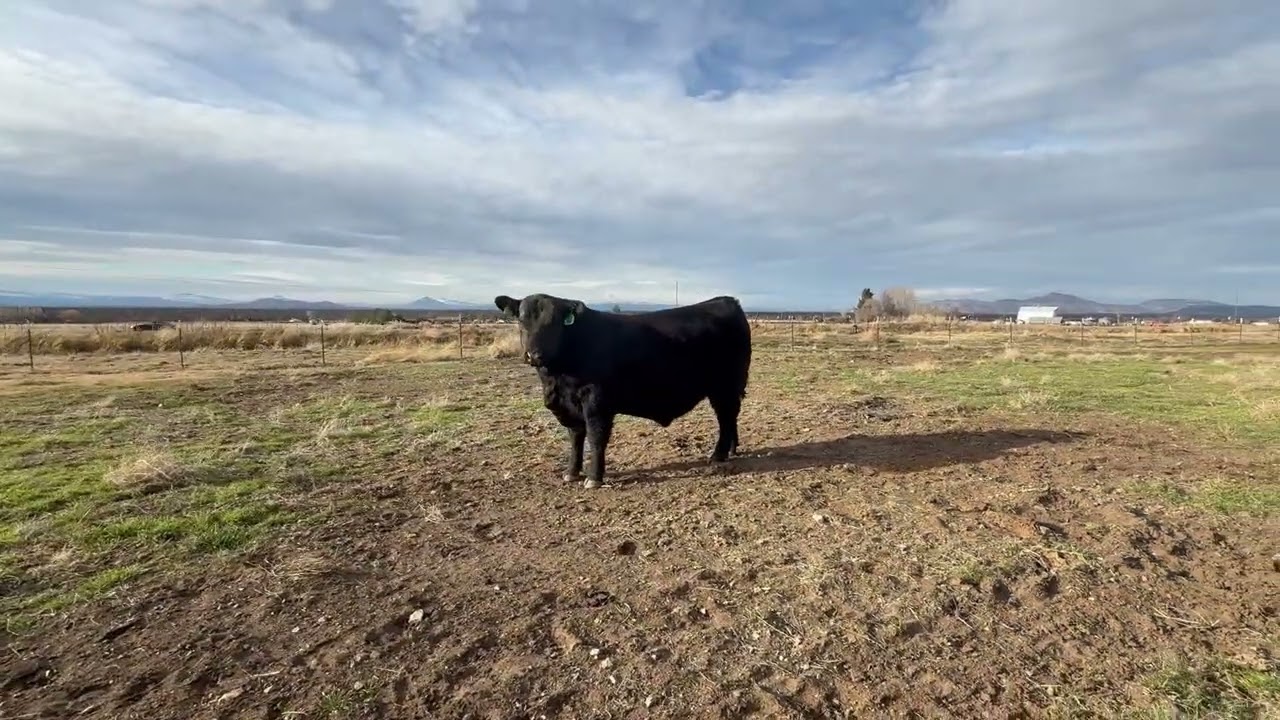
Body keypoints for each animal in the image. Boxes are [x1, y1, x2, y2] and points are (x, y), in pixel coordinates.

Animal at [494, 292, 752, 489]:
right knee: (730, 418)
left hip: (724, 386)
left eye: (554, 324)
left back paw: (718, 455)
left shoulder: (596, 401)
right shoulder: (569, 405)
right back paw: (731, 450)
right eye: (521, 321)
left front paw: (594, 478)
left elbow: (596, 437)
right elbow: (576, 437)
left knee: (726, 417)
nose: (534, 355)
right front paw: (571, 472)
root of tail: (726, 301)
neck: (556, 379)